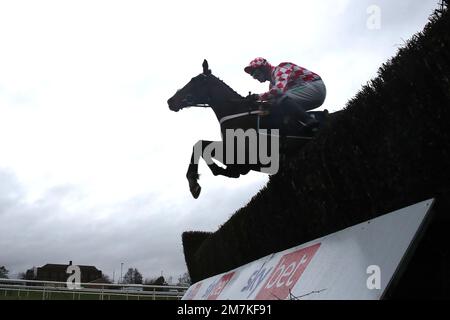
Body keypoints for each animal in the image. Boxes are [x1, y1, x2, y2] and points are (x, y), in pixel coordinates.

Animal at [169, 60, 330, 199]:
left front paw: (194, 183)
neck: (236, 111)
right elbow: (200, 145)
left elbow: (200, 146)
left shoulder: (247, 155)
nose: (170, 101)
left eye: (194, 80)